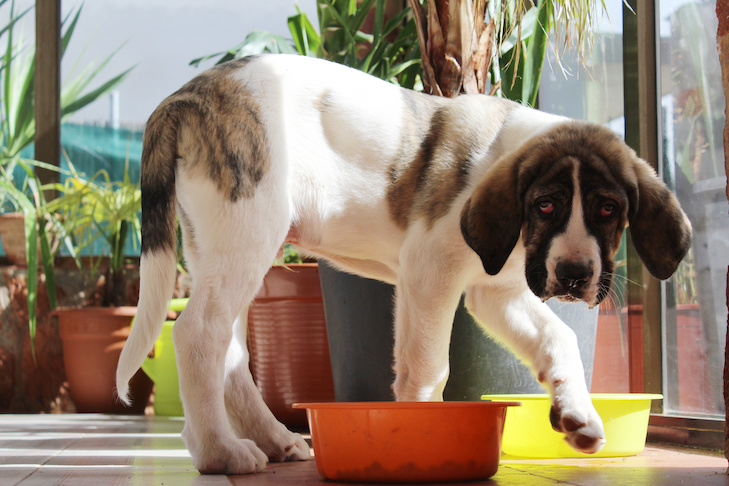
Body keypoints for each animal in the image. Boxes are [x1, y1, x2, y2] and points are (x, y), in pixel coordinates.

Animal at [116, 54, 692, 474]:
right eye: (546, 205)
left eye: (609, 209)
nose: (574, 276)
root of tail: (185, 96)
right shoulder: (430, 273)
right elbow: (428, 368)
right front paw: (419, 431)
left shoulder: (496, 293)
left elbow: (559, 336)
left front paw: (577, 414)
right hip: (248, 231)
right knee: (198, 334)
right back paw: (221, 452)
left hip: (224, 248)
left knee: (230, 351)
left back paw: (272, 440)